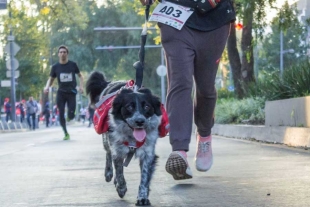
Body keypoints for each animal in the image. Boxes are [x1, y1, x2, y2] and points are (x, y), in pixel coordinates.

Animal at [85, 71, 162, 205]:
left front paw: (143, 197)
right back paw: (109, 173)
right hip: (106, 140)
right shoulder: (118, 150)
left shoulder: (148, 153)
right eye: (129, 107)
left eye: (147, 107)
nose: (140, 121)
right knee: (108, 154)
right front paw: (121, 188)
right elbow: (119, 172)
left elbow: (144, 177)